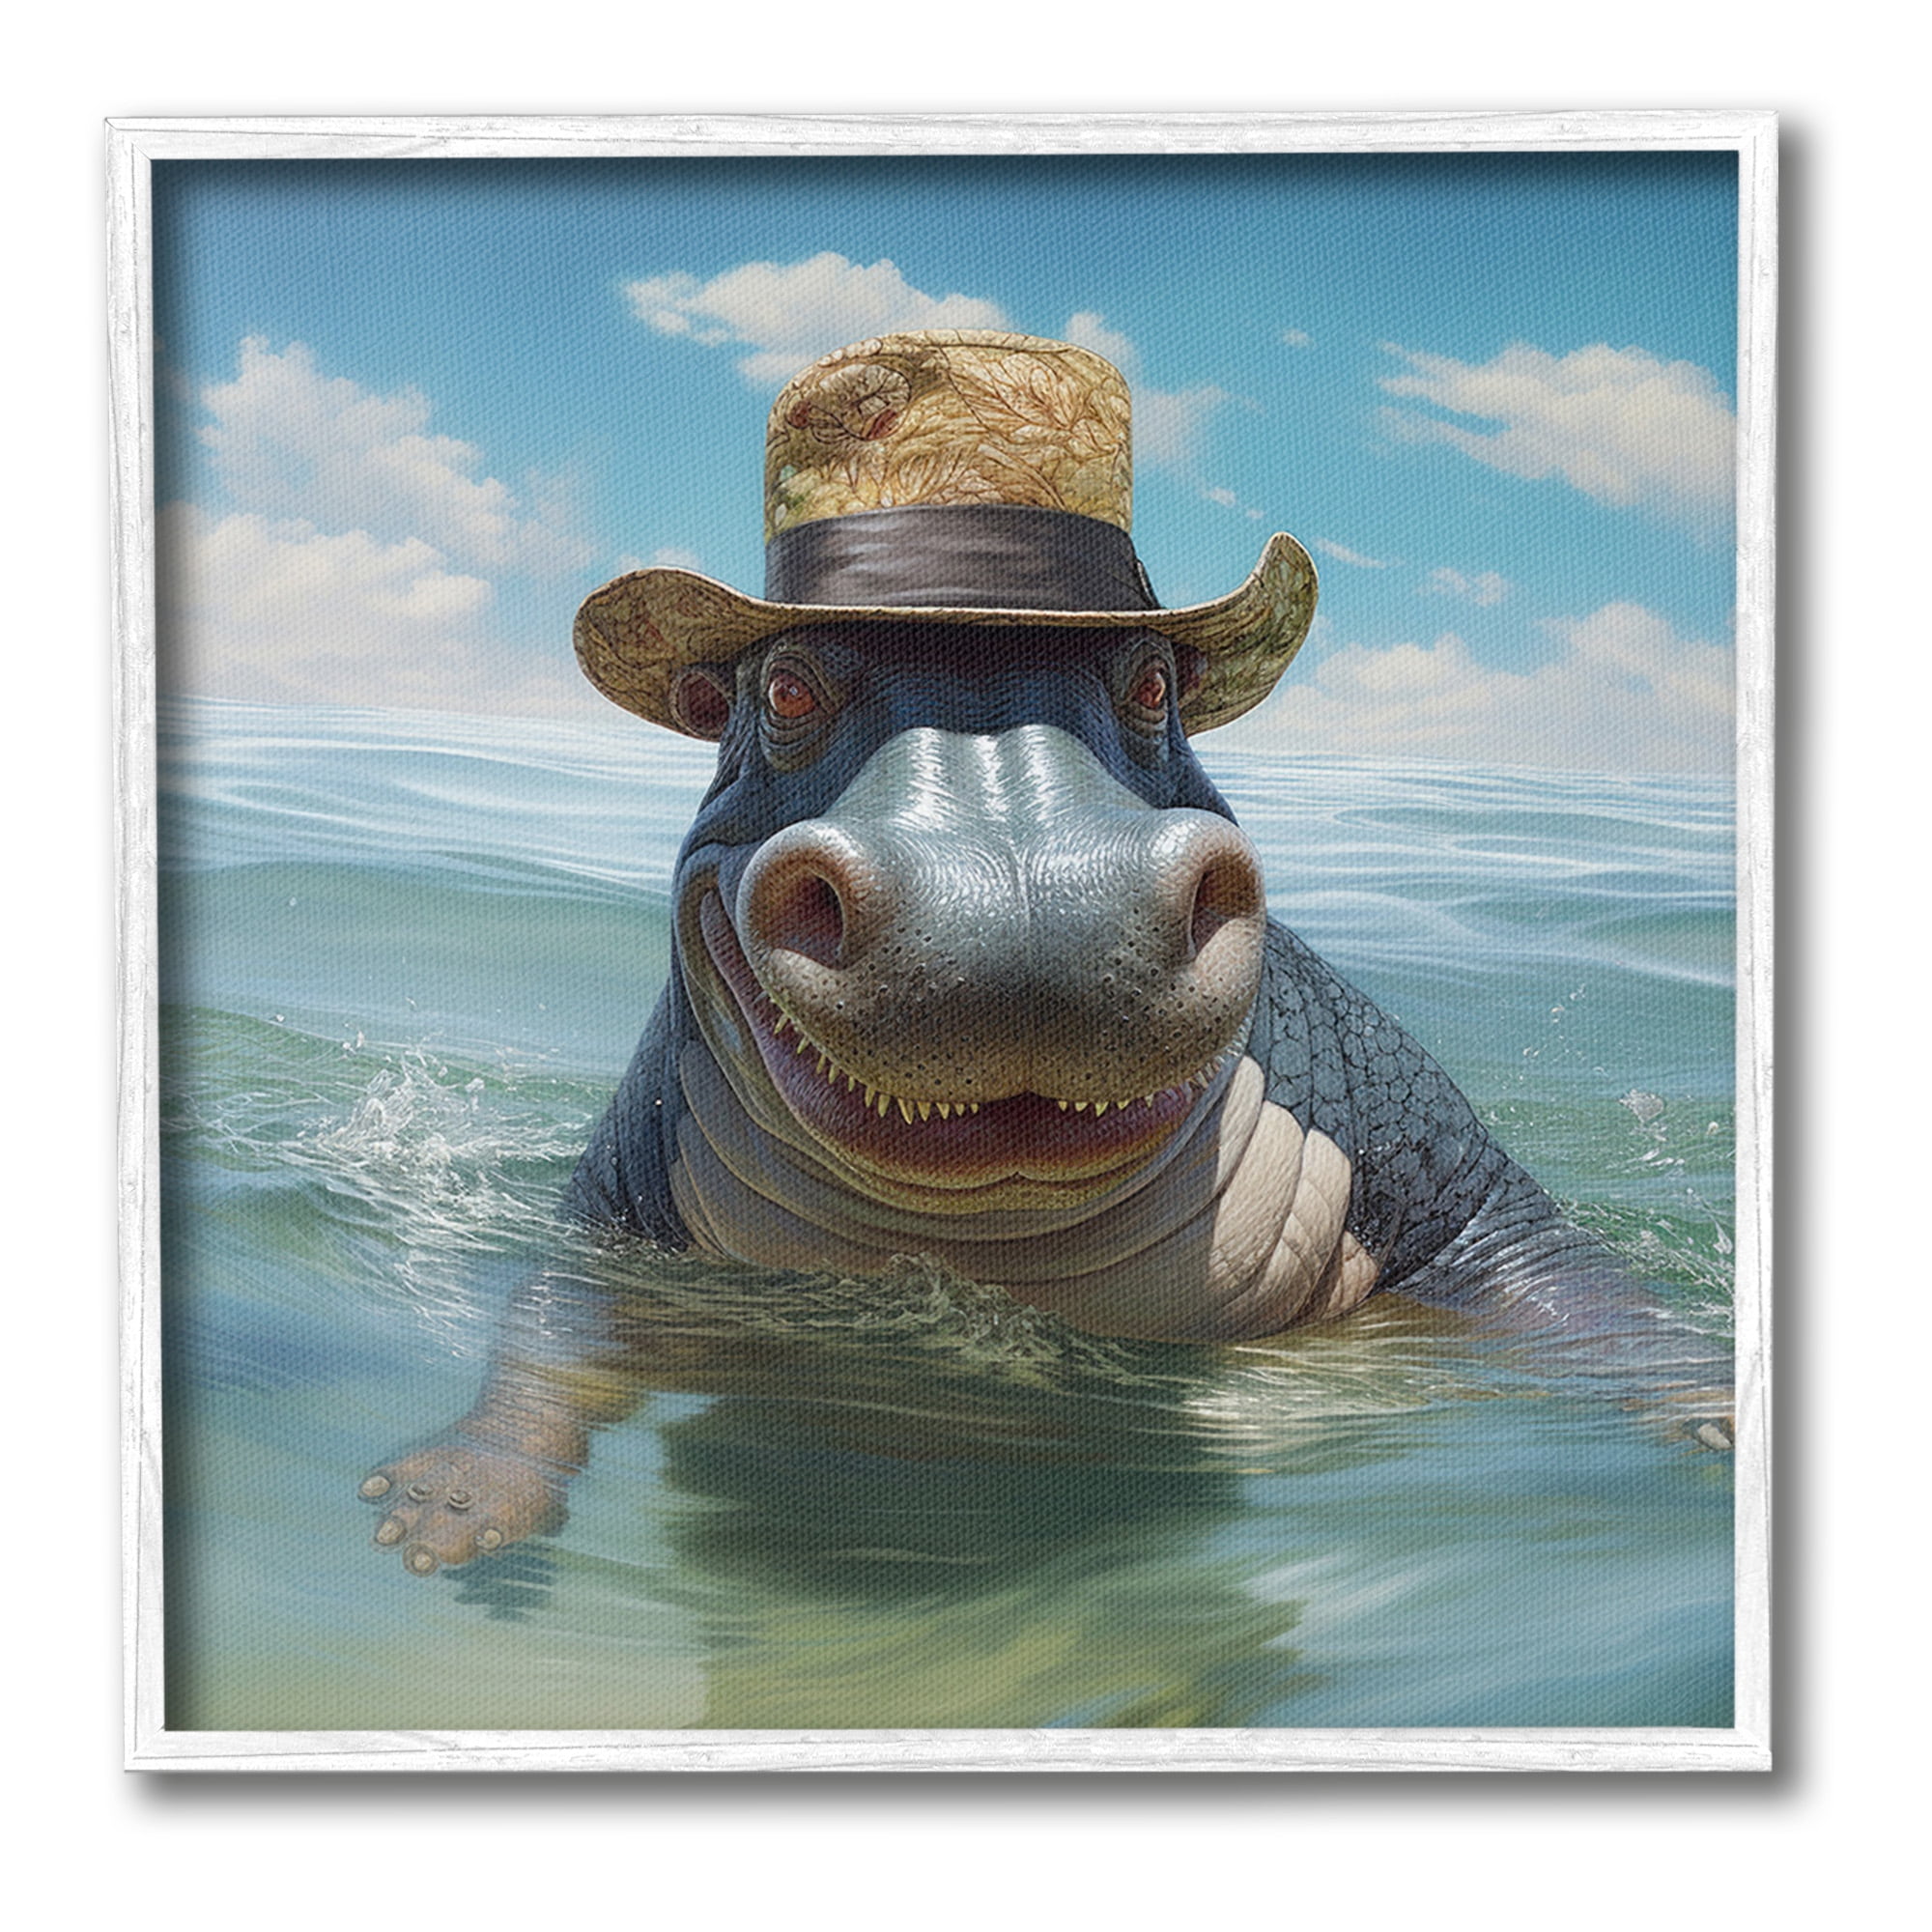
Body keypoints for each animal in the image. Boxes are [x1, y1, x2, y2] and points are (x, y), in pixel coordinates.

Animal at [361, 331, 1639, 1575]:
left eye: (1153, 680)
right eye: (781, 687)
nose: (1024, 893)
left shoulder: (1464, 1195)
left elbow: (1596, 1304)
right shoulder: (613, 1226)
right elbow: (552, 1328)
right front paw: (440, 1509)